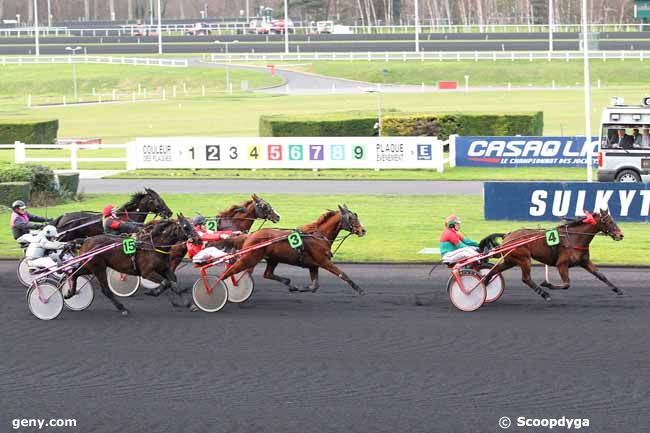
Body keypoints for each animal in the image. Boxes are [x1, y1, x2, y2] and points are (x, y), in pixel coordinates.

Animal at [69, 214, 199, 316]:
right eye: (186, 226)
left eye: (192, 225)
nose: (199, 239)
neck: (154, 246)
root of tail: (86, 240)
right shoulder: (147, 272)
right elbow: (166, 282)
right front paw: (154, 292)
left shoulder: (165, 269)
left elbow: (174, 283)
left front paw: (189, 304)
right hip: (98, 268)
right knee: (105, 290)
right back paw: (122, 308)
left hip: (89, 266)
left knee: (74, 274)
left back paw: (70, 293)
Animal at [214, 205, 362, 294]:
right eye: (351, 218)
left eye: (356, 216)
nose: (363, 230)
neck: (318, 235)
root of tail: (251, 235)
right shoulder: (323, 261)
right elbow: (342, 273)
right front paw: (359, 289)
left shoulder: (313, 265)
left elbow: (315, 286)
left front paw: (299, 288)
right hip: (250, 258)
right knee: (233, 271)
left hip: (271, 259)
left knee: (267, 274)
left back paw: (288, 283)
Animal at [480, 207, 624, 300]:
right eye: (609, 221)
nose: (620, 235)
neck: (574, 237)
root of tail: (507, 235)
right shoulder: (562, 264)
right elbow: (566, 284)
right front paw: (547, 284)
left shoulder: (584, 261)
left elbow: (601, 275)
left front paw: (618, 289)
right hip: (524, 258)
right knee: (526, 278)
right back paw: (544, 294)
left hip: (511, 260)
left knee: (494, 270)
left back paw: (485, 283)